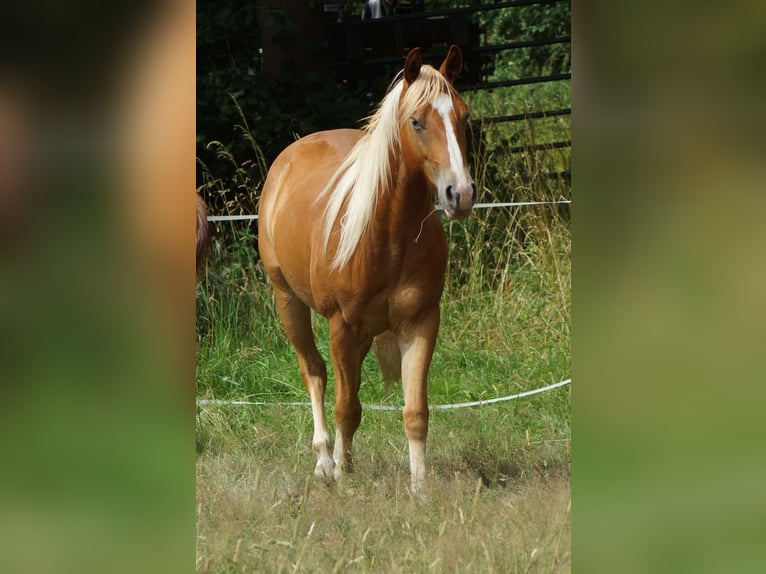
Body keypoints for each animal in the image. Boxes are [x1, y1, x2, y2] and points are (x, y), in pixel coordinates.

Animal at [257, 45, 475, 494]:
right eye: (416, 121)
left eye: (464, 117)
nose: (460, 194)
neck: (388, 234)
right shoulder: (341, 324)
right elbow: (344, 405)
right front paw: (340, 474)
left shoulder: (421, 322)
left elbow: (414, 412)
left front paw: (420, 490)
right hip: (289, 302)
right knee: (316, 373)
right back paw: (326, 460)